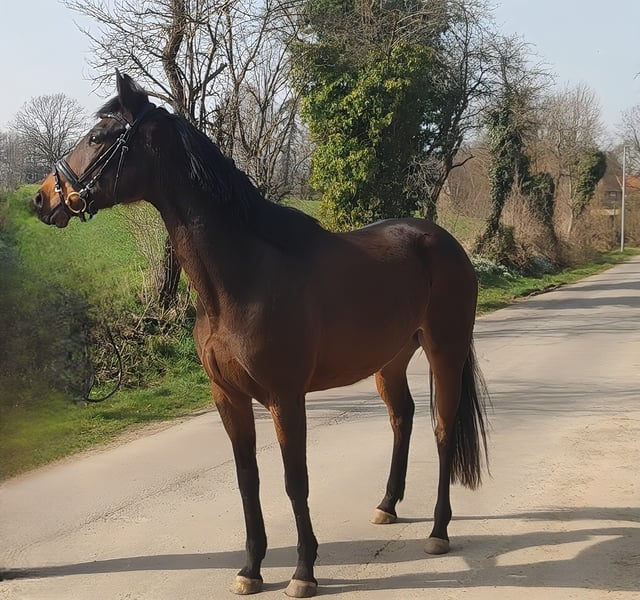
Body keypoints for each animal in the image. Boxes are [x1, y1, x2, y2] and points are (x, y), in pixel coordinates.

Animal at [33, 71, 489, 598]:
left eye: (99, 136)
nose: (42, 198)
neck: (241, 278)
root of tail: (445, 242)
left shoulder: (284, 398)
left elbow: (295, 480)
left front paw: (303, 572)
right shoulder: (228, 396)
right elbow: (246, 479)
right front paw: (250, 568)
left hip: (444, 352)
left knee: (442, 428)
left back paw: (438, 530)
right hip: (390, 360)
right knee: (403, 418)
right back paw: (387, 506)